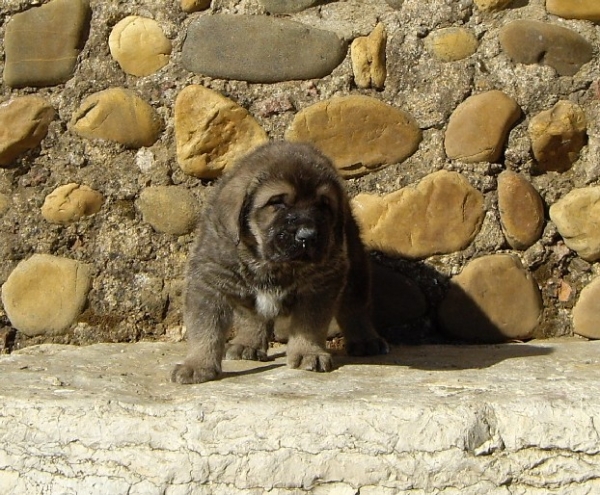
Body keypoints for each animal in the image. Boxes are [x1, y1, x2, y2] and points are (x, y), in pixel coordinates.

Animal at [172, 141, 390, 386]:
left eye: (324, 205)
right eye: (276, 202)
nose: (307, 235)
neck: (271, 264)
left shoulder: (320, 284)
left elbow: (309, 324)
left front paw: (308, 352)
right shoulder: (209, 282)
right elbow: (205, 330)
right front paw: (197, 364)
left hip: (355, 268)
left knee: (355, 307)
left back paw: (366, 340)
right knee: (252, 316)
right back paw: (248, 343)